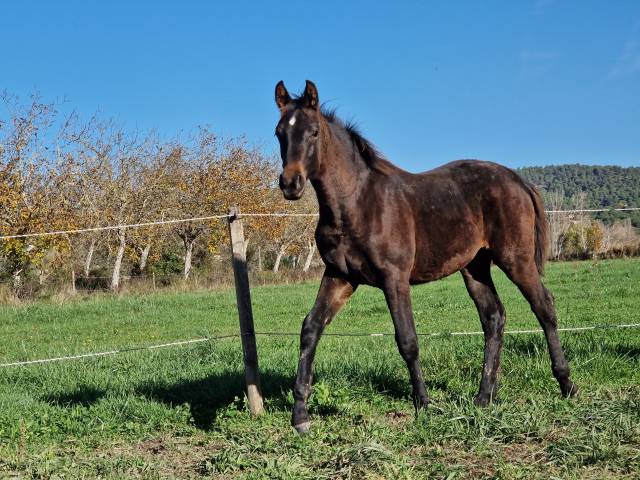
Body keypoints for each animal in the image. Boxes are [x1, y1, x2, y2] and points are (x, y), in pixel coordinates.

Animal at [274, 80, 578, 434]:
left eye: (313, 133)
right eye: (279, 132)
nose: (290, 183)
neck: (356, 202)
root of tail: (519, 180)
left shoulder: (394, 278)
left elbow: (407, 339)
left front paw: (424, 404)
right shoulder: (340, 277)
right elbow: (311, 328)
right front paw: (300, 415)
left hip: (517, 259)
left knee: (544, 306)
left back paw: (566, 385)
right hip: (475, 266)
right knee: (493, 317)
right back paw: (483, 397)